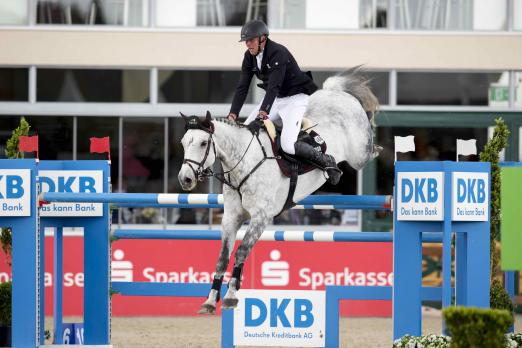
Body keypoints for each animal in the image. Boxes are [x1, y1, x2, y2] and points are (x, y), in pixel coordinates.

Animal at [178, 66, 378, 314]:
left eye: (204, 143)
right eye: (183, 142)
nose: (185, 179)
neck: (243, 159)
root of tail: (337, 94)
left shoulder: (261, 217)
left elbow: (242, 251)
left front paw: (232, 296)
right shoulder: (231, 217)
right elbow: (223, 257)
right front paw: (210, 301)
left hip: (359, 154)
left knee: (369, 148)